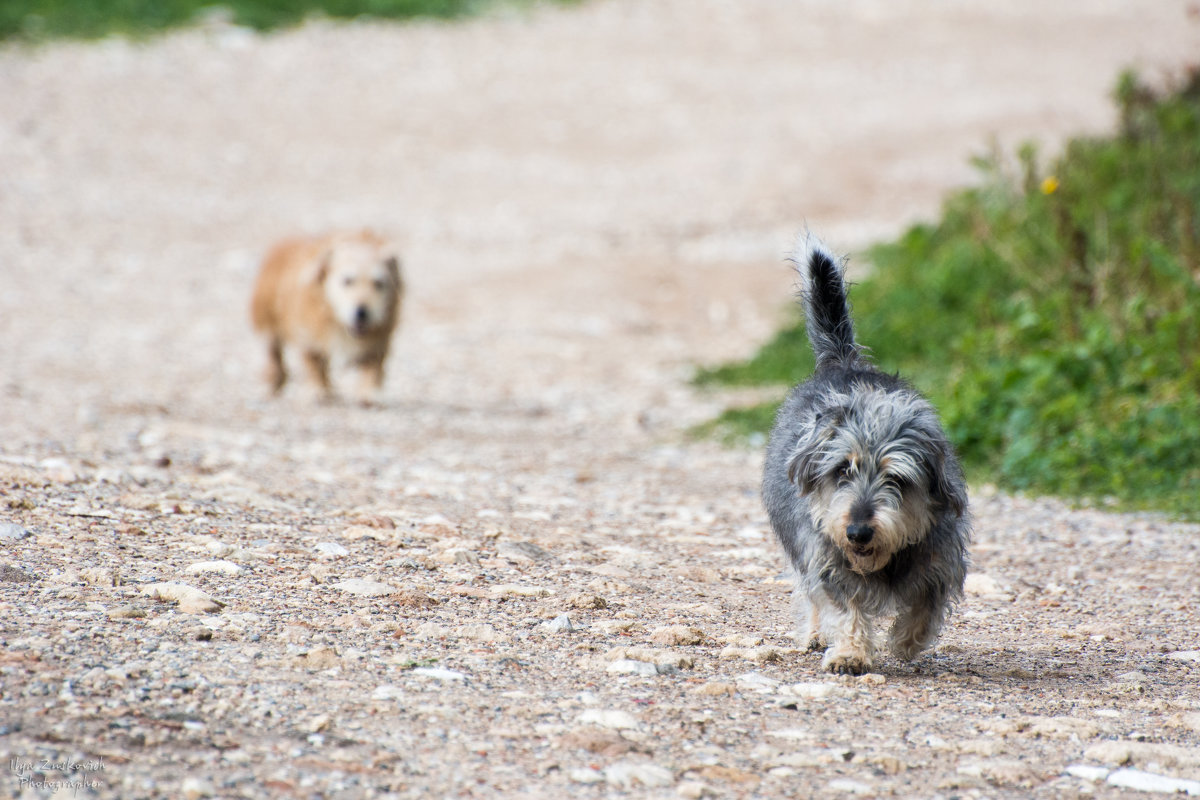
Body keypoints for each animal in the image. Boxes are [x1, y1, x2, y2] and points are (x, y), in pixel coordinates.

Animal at [250, 231, 405, 407]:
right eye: (347, 280)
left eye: (378, 283)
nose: (362, 312)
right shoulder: (308, 336)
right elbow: (315, 366)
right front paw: (319, 391)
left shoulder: (378, 343)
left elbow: (372, 369)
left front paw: (368, 393)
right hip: (268, 323)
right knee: (274, 354)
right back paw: (276, 379)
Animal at [763, 232, 969, 676]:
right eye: (842, 469)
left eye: (896, 478)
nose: (857, 531)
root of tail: (842, 361)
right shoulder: (826, 557)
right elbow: (845, 607)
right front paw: (850, 653)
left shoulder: (940, 558)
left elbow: (926, 605)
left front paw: (907, 642)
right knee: (808, 594)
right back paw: (816, 634)